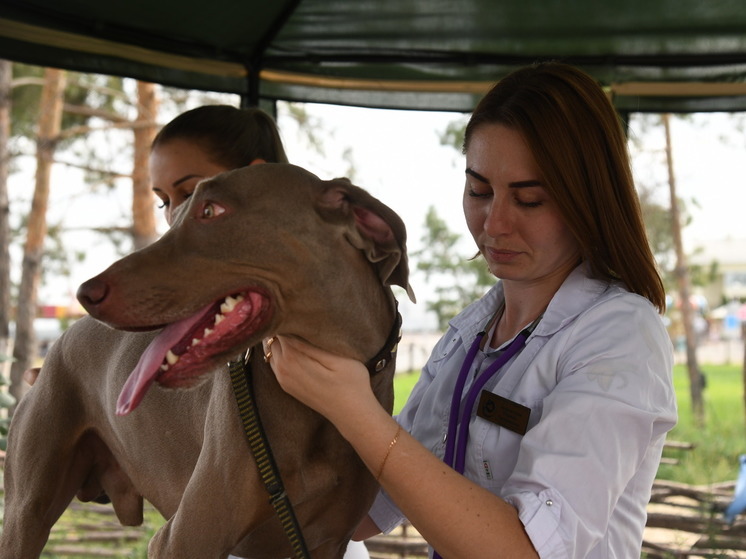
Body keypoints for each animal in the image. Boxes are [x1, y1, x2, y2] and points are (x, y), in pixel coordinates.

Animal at [1, 164, 412, 556]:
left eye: (211, 210)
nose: (85, 293)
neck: (318, 411)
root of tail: (56, 347)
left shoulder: (326, 543)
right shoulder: (181, 539)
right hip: (25, 516)